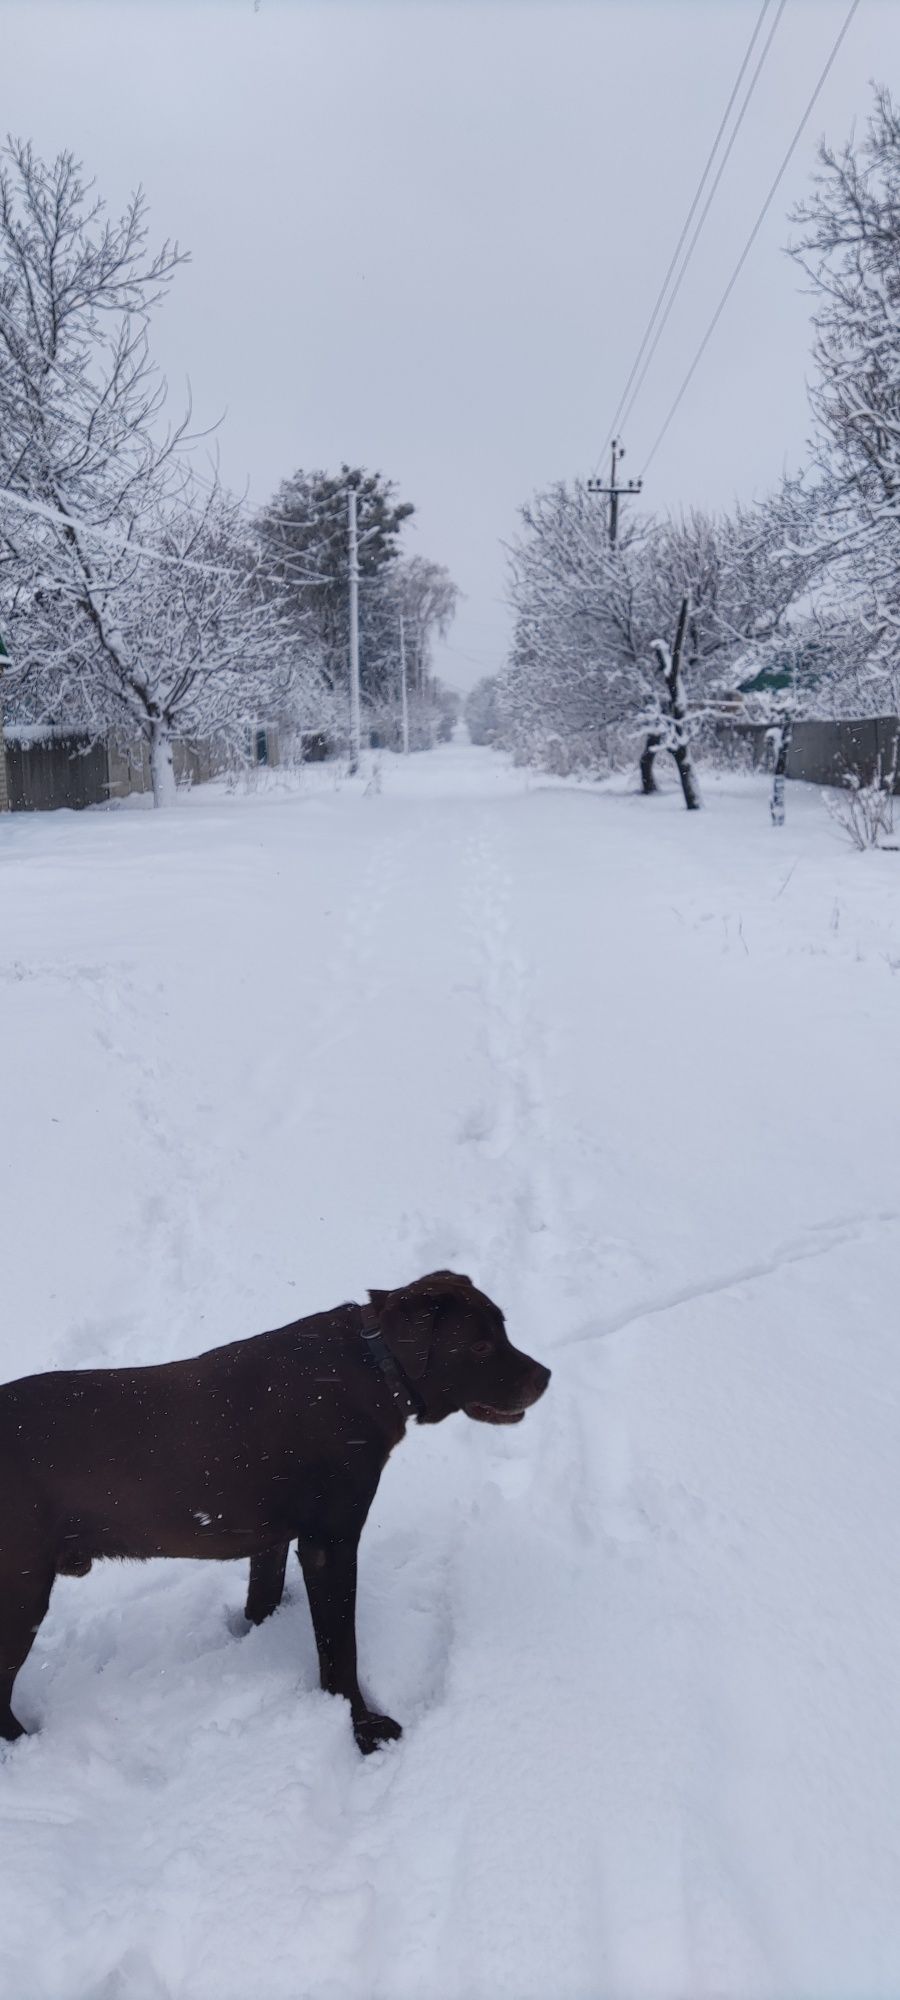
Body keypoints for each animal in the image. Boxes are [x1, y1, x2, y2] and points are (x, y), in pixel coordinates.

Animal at [0, 1280, 548, 1752]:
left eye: (503, 1327)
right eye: (480, 1347)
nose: (546, 1376)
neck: (375, 1369)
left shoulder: (273, 1538)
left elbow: (264, 1596)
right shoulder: (330, 1542)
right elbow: (340, 1649)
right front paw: (362, 1728)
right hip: (21, 1592)